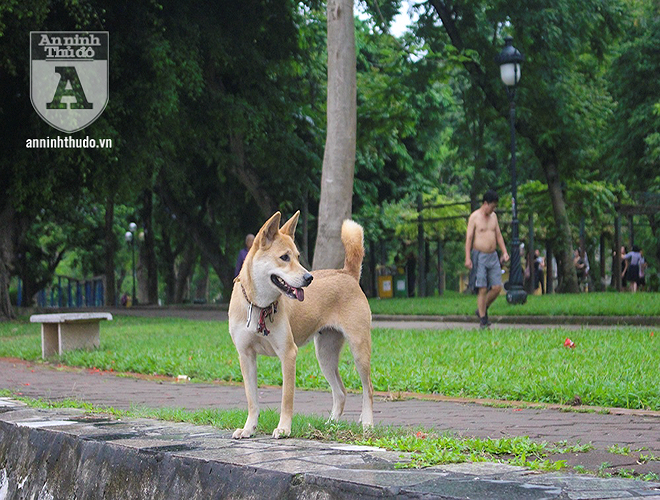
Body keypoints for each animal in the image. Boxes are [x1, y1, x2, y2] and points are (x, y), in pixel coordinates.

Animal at [228, 211, 374, 438]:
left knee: (368, 389)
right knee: (341, 392)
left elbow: (286, 398)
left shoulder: (288, 354)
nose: (309, 277)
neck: (260, 305)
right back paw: (330, 424)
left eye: (297, 256)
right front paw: (248, 428)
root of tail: (346, 273)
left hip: (359, 350)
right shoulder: (246, 356)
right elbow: (252, 400)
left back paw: (367, 422)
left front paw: (284, 428)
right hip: (325, 356)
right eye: (284, 257)